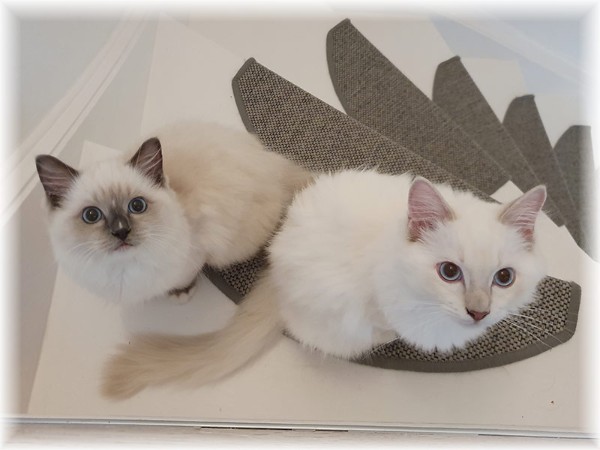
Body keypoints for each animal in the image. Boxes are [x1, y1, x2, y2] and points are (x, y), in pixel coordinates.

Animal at [35, 122, 313, 304]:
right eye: (91, 216)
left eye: (137, 206)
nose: (121, 231)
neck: (124, 269)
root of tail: (273, 162)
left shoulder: (195, 256)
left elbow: (183, 280)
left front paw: (181, 294)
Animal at [102, 170, 547, 399]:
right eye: (449, 272)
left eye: (504, 278)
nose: (479, 312)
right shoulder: (379, 309)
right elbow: (384, 329)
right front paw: (388, 340)